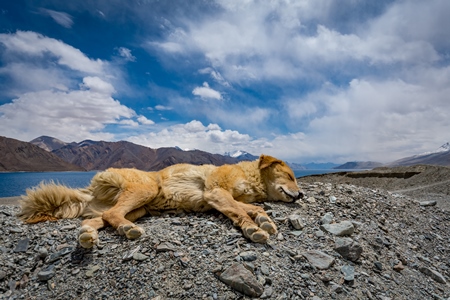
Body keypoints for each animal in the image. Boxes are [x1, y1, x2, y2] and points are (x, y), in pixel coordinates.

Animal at [19, 155, 304, 248]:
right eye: (291, 176)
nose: (302, 195)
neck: (250, 177)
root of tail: (90, 191)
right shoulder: (215, 193)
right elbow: (240, 211)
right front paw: (253, 228)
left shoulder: (220, 199)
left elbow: (250, 207)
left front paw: (264, 219)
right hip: (147, 189)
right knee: (112, 216)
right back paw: (126, 230)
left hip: (138, 209)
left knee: (96, 219)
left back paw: (87, 236)